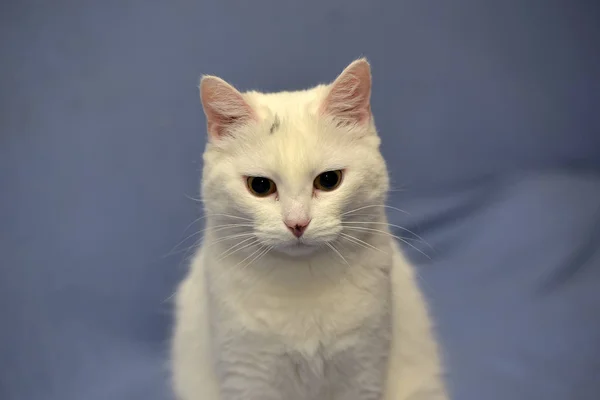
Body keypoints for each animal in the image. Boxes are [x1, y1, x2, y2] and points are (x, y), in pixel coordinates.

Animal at [171, 59, 448, 400]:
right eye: (260, 186)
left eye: (329, 180)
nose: (297, 223)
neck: (302, 284)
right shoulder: (248, 374)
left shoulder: (363, 370)